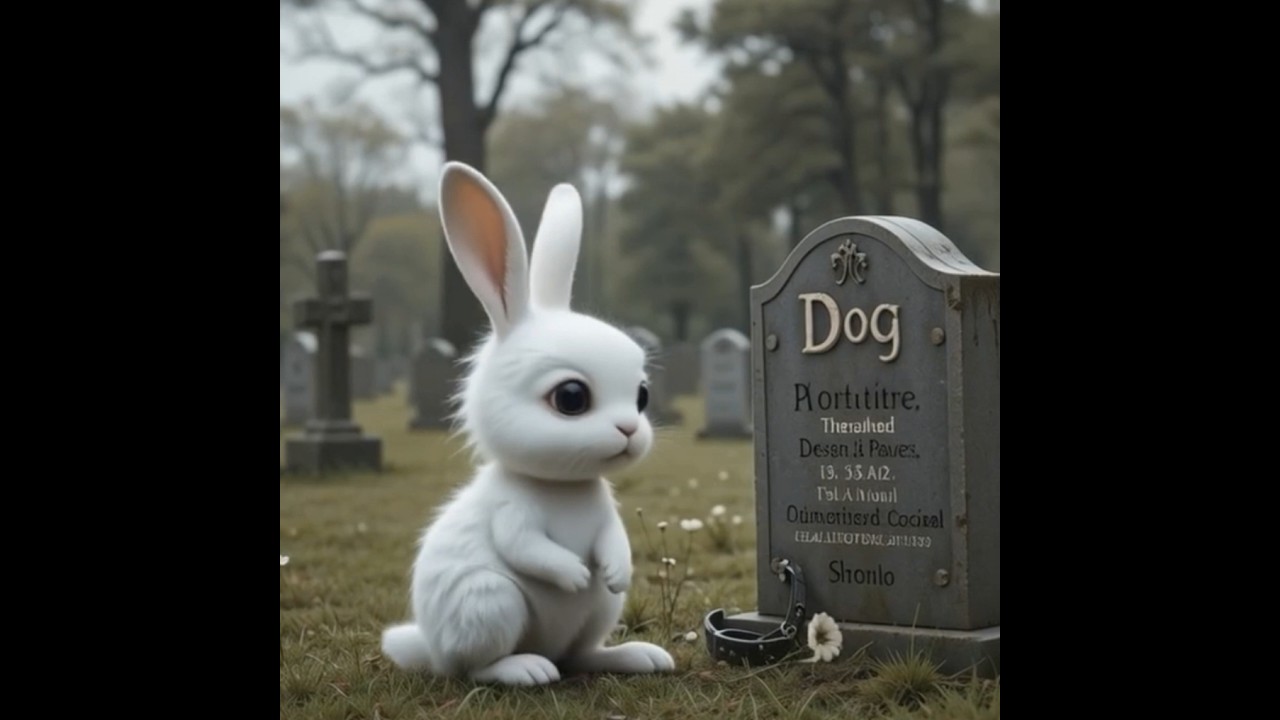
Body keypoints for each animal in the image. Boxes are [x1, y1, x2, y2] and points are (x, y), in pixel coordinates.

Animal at [380, 162, 676, 686]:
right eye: (571, 398)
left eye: (642, 395)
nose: (629, 431)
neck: (562, 485)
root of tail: (432, 648)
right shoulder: (510, 513)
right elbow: (525, 547)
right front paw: (575, 574)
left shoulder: (607, 515)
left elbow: (614, 540)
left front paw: (614, 571)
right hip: (490, 603)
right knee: (475, 668)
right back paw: (527, 669)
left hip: (601, 612)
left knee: (580, 655)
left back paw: (636, 656)